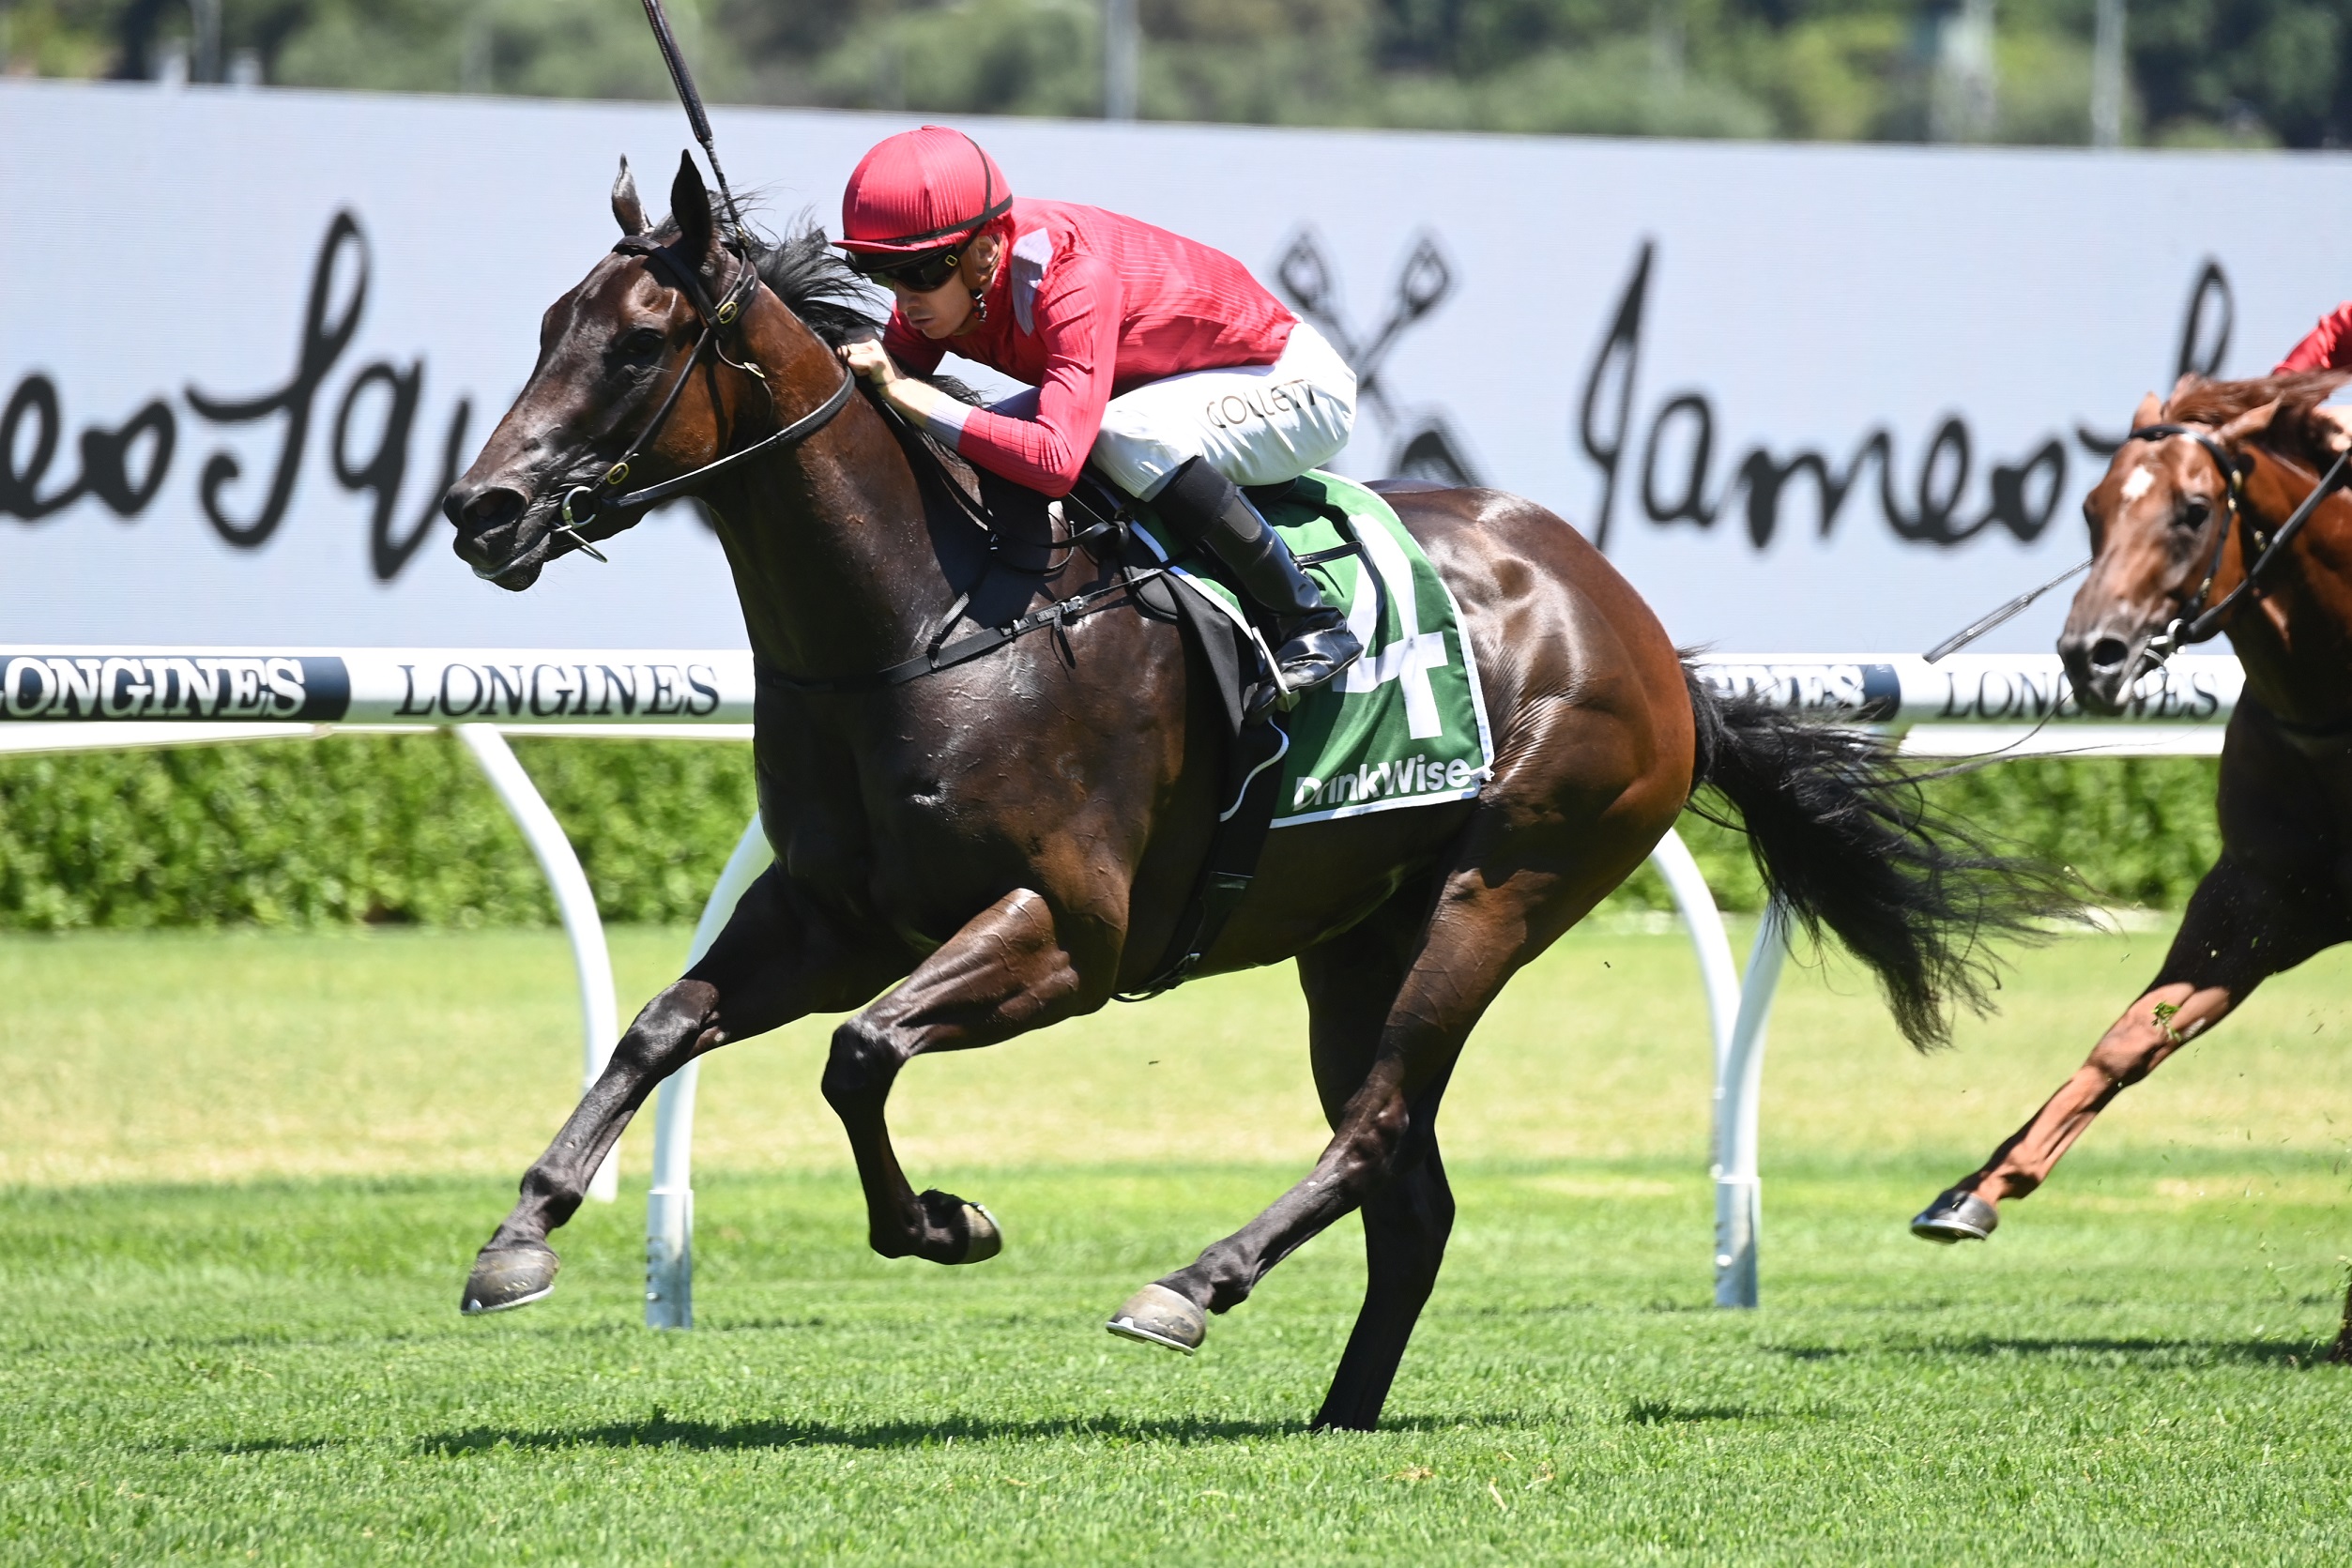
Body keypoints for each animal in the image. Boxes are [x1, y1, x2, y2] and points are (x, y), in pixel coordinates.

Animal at [441, 152, 2070, 1430]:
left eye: (641, 344)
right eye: (548, 325)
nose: (480, 509)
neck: (926, 617)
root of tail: (1640, 629)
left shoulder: (1069, 932)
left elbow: (859, 1051)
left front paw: (945, 1221)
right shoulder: (832, 910)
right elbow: (664, 1024)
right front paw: (521, 1235)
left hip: (1501, 883)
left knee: (1374, 1130)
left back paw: (1189, 1284)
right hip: (1355, 938)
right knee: (1411, 1188)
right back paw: (1341, 1410)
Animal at [1908, 370, 2352, 1363]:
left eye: (2195, 509)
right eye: (2090, 508)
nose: (2091, 653)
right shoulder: (2259, 897)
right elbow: (2129, 1040)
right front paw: (1975, 1191)